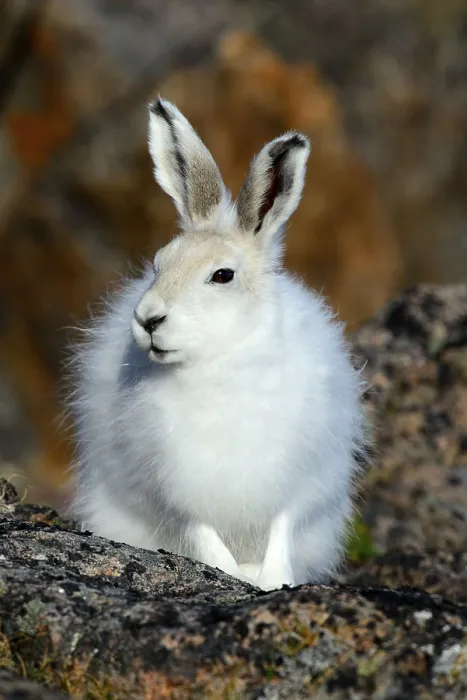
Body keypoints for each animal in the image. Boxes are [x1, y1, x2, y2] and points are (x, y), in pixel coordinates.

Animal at [70, 97, 365, 591]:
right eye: (159, 263)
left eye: (222, 275)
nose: (148, 319)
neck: (221, 361)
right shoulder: (172, 488)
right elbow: (201, 532)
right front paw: (233, 574)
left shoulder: (304, 477)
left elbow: (282, 527)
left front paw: (272, 581)